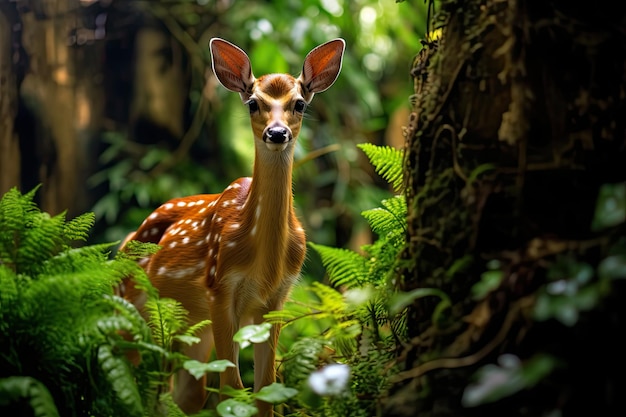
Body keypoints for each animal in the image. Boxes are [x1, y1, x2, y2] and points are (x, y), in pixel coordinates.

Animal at [119, 37, 344, 414]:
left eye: (299, 103)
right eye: (254, 103)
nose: (277, 133)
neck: (263, 262)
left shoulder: (275, 300)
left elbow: (266, 389)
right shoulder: (219, 288)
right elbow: (231, 388)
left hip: (192, 327)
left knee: (183, 394)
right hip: (133, 303)